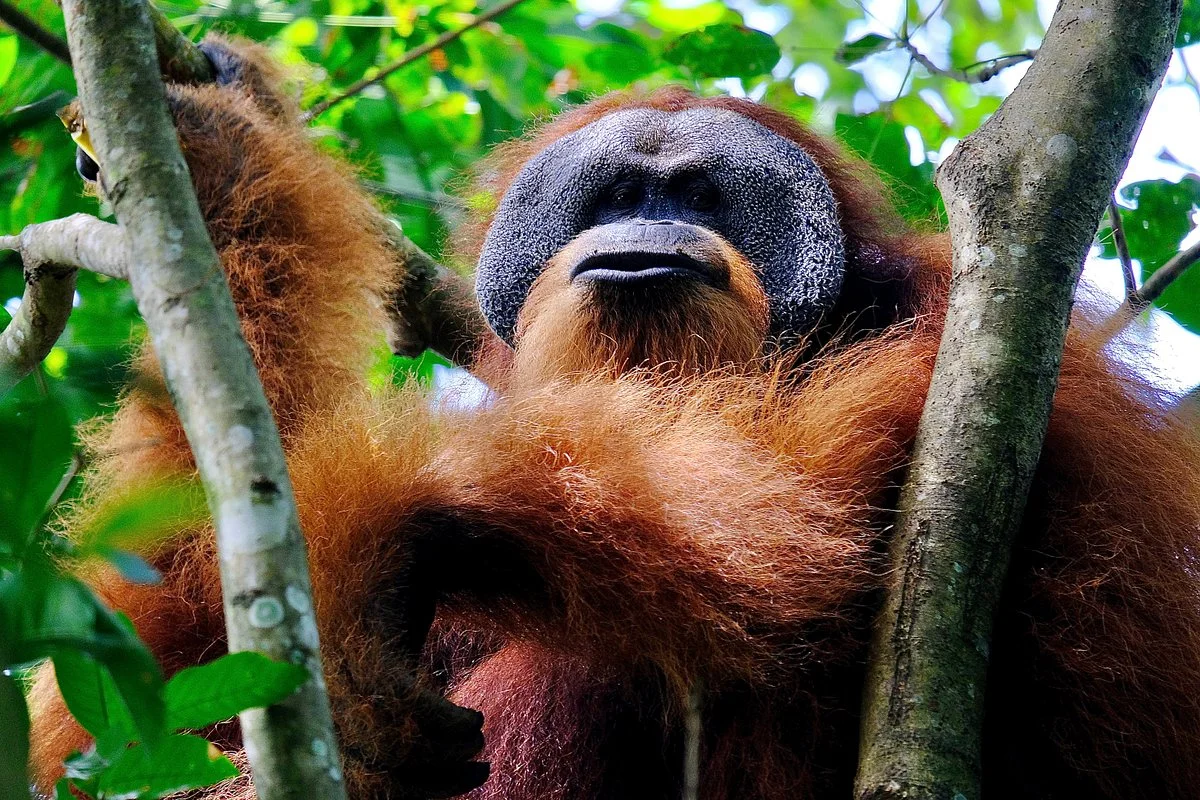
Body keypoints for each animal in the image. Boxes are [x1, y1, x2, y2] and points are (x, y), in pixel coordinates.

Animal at [24, 35, 1200, 800]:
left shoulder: (968, 345)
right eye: (613, 197)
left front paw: (387, 553)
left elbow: (786, 519)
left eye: (708, 198)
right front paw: (222, 146)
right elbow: (149, 669)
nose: (648, 231)